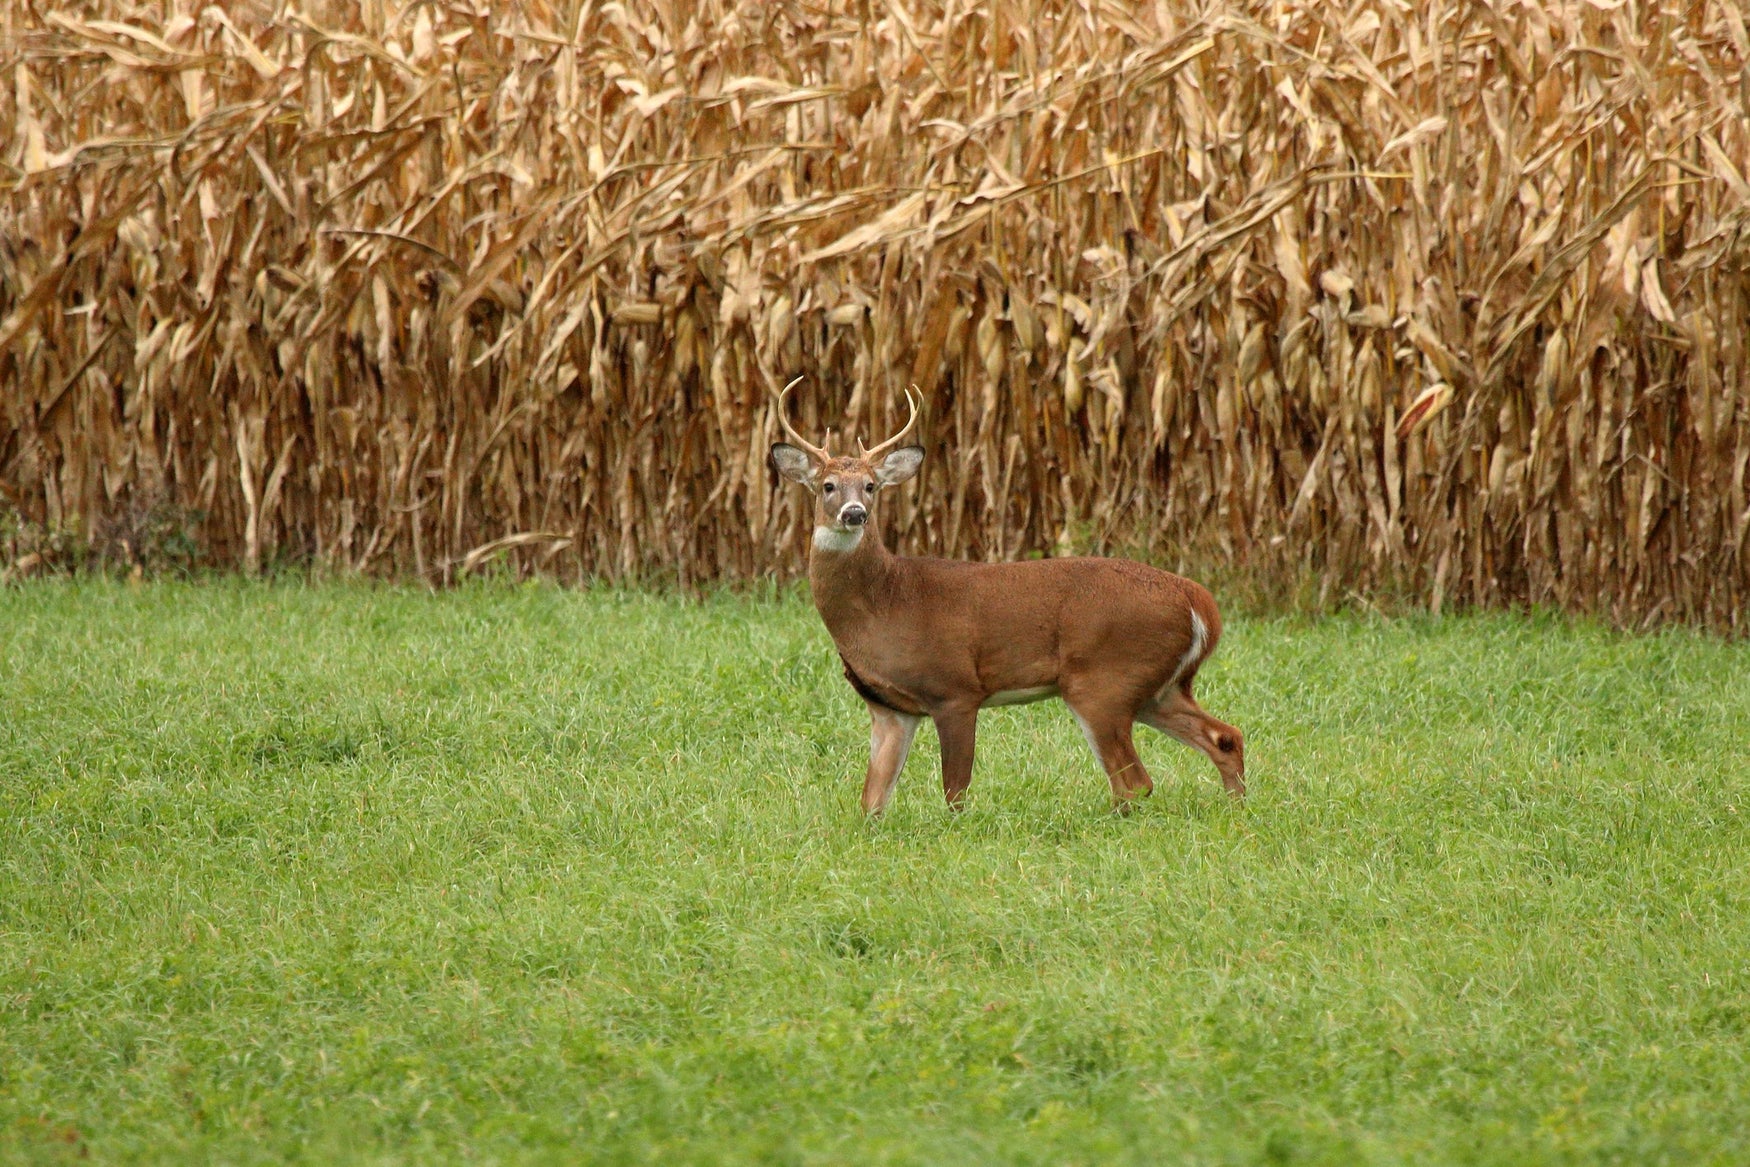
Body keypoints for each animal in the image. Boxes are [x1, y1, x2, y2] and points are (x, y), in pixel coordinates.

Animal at [769, 379, 1245, 815]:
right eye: (828, 485)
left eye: (870, 486)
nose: (855, 514)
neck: (885, 601)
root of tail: (1200, 604)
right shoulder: (889, 708)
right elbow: (872, 801)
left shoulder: (954, 688)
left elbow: (955, 792)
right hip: (1158, 686)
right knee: (1225, 736)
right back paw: (1236, 806)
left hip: (1104, 678)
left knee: (1134, 782)